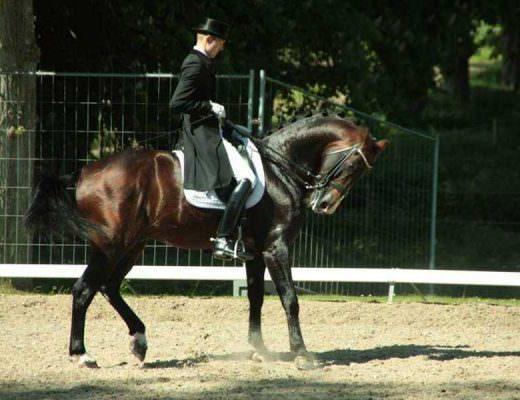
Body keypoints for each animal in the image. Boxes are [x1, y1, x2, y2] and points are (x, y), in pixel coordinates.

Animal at [24, 112, 388, 368]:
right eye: (353, 165)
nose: (324, 205)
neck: (278, 169)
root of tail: (84, 172)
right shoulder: (276, 247)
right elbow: (290, 299)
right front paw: (301, 355)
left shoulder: (255, 251)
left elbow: (256, 297)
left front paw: (258, 349)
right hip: (110, 246)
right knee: (84, 289)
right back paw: (82, 355)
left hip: (132, 245)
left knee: (108, 287)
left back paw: (139, 342)